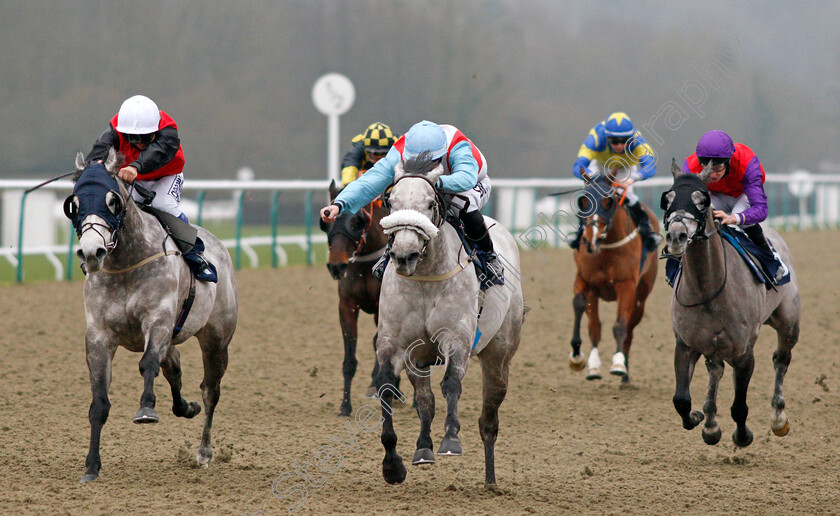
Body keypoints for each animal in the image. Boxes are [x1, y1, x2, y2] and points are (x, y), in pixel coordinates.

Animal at [64, 150, 236, 484]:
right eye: (74, 204)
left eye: (113, 201)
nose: (92, 253)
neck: (125, 263)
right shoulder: (99, 336)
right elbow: (99, 402)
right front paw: (91, 467)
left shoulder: (158, 321)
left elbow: (147, 364)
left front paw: (146, 410)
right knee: (175, 369)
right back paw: (186, 407)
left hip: (216, 338)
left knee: (210, 389)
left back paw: (204, 451)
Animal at [320, 179, 388, 418]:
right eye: (325, 224)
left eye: (357, 221)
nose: (336, 266)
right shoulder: (347, 306)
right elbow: (349, 359)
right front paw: (344, 406)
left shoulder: (381, 307)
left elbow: (379, 344)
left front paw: (377, 385)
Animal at [374, 152, 524, 488]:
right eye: (391, 202)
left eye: (431, 203)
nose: (404, 255)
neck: (425, 276)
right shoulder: (396, 345)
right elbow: (389, 389)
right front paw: (393, 465)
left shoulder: (458, 339)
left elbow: (452, 384)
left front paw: (451, 440)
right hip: (419, 358)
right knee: (425, 401)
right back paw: (424, 448)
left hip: (499, 355)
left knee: (488, 419)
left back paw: (490, 480)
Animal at [568, 172, 660, 382]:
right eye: (583, 201)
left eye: (607, 201)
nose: (590, 239)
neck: (605, 247)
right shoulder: (586, 281)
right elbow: (588, 318)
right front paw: (582, 360)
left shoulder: (626, 285)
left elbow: (620, 326)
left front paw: (618, 364)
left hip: (641, 295)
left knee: (630, 329)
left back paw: (625, 372)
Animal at [664, 159, 800, 446]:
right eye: (668, 198)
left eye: (701, 200)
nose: (676, 236)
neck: (707, 289)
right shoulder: (685, 345)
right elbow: (681, 400)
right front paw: (700, 419)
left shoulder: (744, 352)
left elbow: (739, 405)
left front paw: (743, 435)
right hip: (713, 346)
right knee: (715, 369)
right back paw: (710, 421)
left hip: (789, 323)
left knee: (781, 359)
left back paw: (778, 419)